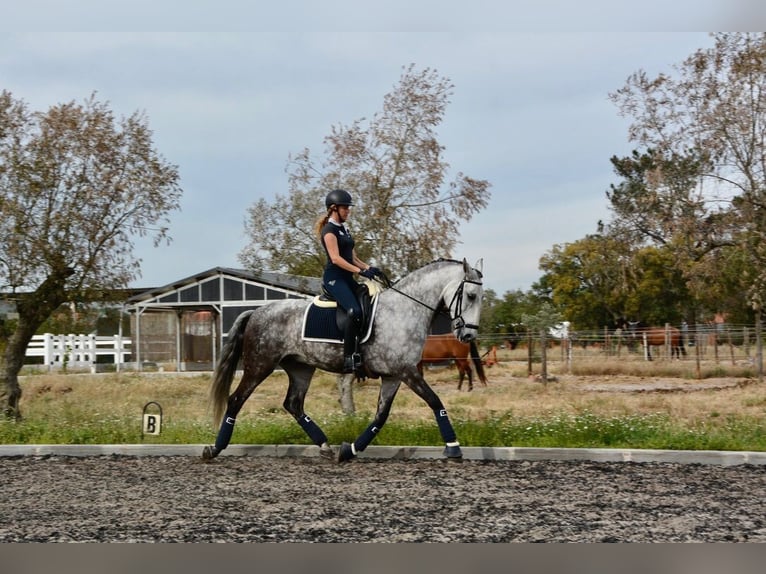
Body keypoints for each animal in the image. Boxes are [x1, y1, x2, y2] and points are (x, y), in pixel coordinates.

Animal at [201, 258, 484, 466]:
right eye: (471, 295)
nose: (468, 335)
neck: (404, 311)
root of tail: (256, 311)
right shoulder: (406, 371)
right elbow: (435, 401)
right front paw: (453, 448)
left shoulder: (393, 375)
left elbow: (381, 416)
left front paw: (349, 450)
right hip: (260, 365)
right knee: (236, 400)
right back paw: (214, 449)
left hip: (301, 368)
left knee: (293, 404)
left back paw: (326, 447)